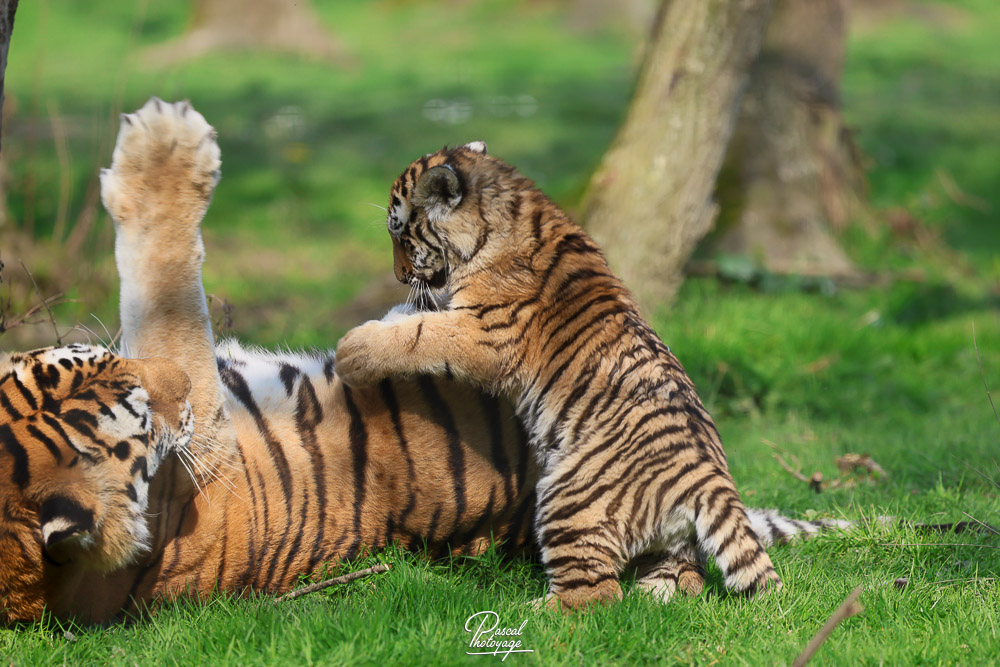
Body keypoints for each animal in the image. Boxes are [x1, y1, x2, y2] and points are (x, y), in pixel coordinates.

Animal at [333, 143, 786, 610]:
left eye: (400, 234)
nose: (399, 276)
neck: (508, 213)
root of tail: (710, 477)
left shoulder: (486, 334)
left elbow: (421, 334)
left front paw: (353, 350)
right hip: (661, 540)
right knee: (667, 580)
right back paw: (649, 598)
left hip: (567, 498)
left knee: (592, 596)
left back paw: (520, 611)